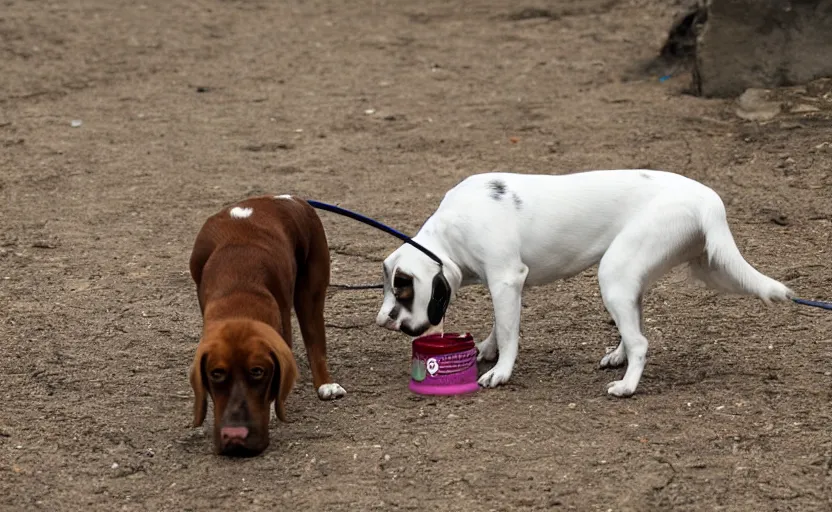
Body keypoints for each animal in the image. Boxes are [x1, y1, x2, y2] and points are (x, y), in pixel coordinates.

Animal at [188, 195, 344, 456]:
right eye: (216, 374)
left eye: (258, 372)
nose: (235, 435)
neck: (239, 295)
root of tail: (283, 197)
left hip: (311, 290)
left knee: (316, 343)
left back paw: (326, 384)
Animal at [376, 170, 792, 398]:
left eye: (403, 290)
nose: (385, 322)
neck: (454, 230)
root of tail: (706, 196)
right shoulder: (502, 285)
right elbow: (498, 327)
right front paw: (487, 350)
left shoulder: (507, 280)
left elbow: (509, 335)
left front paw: (501, 372)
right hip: (628, 277)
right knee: (634, 328)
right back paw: (618, 358)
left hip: (613, 274)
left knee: (641, 342)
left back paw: (627, 386)